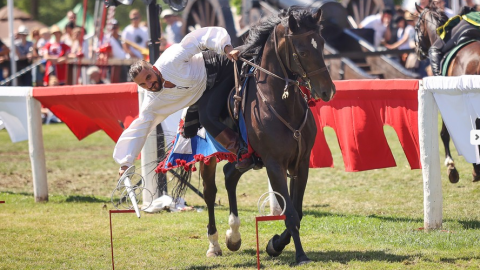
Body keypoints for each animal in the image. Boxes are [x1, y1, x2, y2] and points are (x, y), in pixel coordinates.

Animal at [171, 6, 336, 266]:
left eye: (321, 44)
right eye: (302, 51)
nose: (327, 90)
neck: (280, 103)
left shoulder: (300, 163)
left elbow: (297, 211)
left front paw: (274, 244)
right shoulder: (274, 164)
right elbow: (290, 213)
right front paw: (299, 254)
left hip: (246, 159)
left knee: (230, 175)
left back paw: (233, 236)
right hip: (209, 158)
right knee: (210, 192)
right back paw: (214, 244)